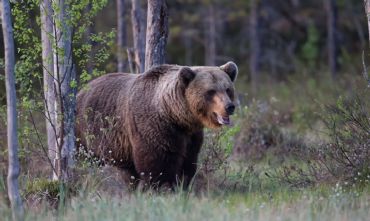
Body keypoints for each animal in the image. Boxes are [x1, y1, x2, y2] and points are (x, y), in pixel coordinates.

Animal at [76, 61, 238, 190]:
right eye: (211, 91)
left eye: (227, 89)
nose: (229, 106)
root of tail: (81, 90)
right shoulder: (153, 127)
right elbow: (156, 163)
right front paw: (161, 186)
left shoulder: (191, 135)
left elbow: (188, 162)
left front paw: (182, 184)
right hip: (85, 132)